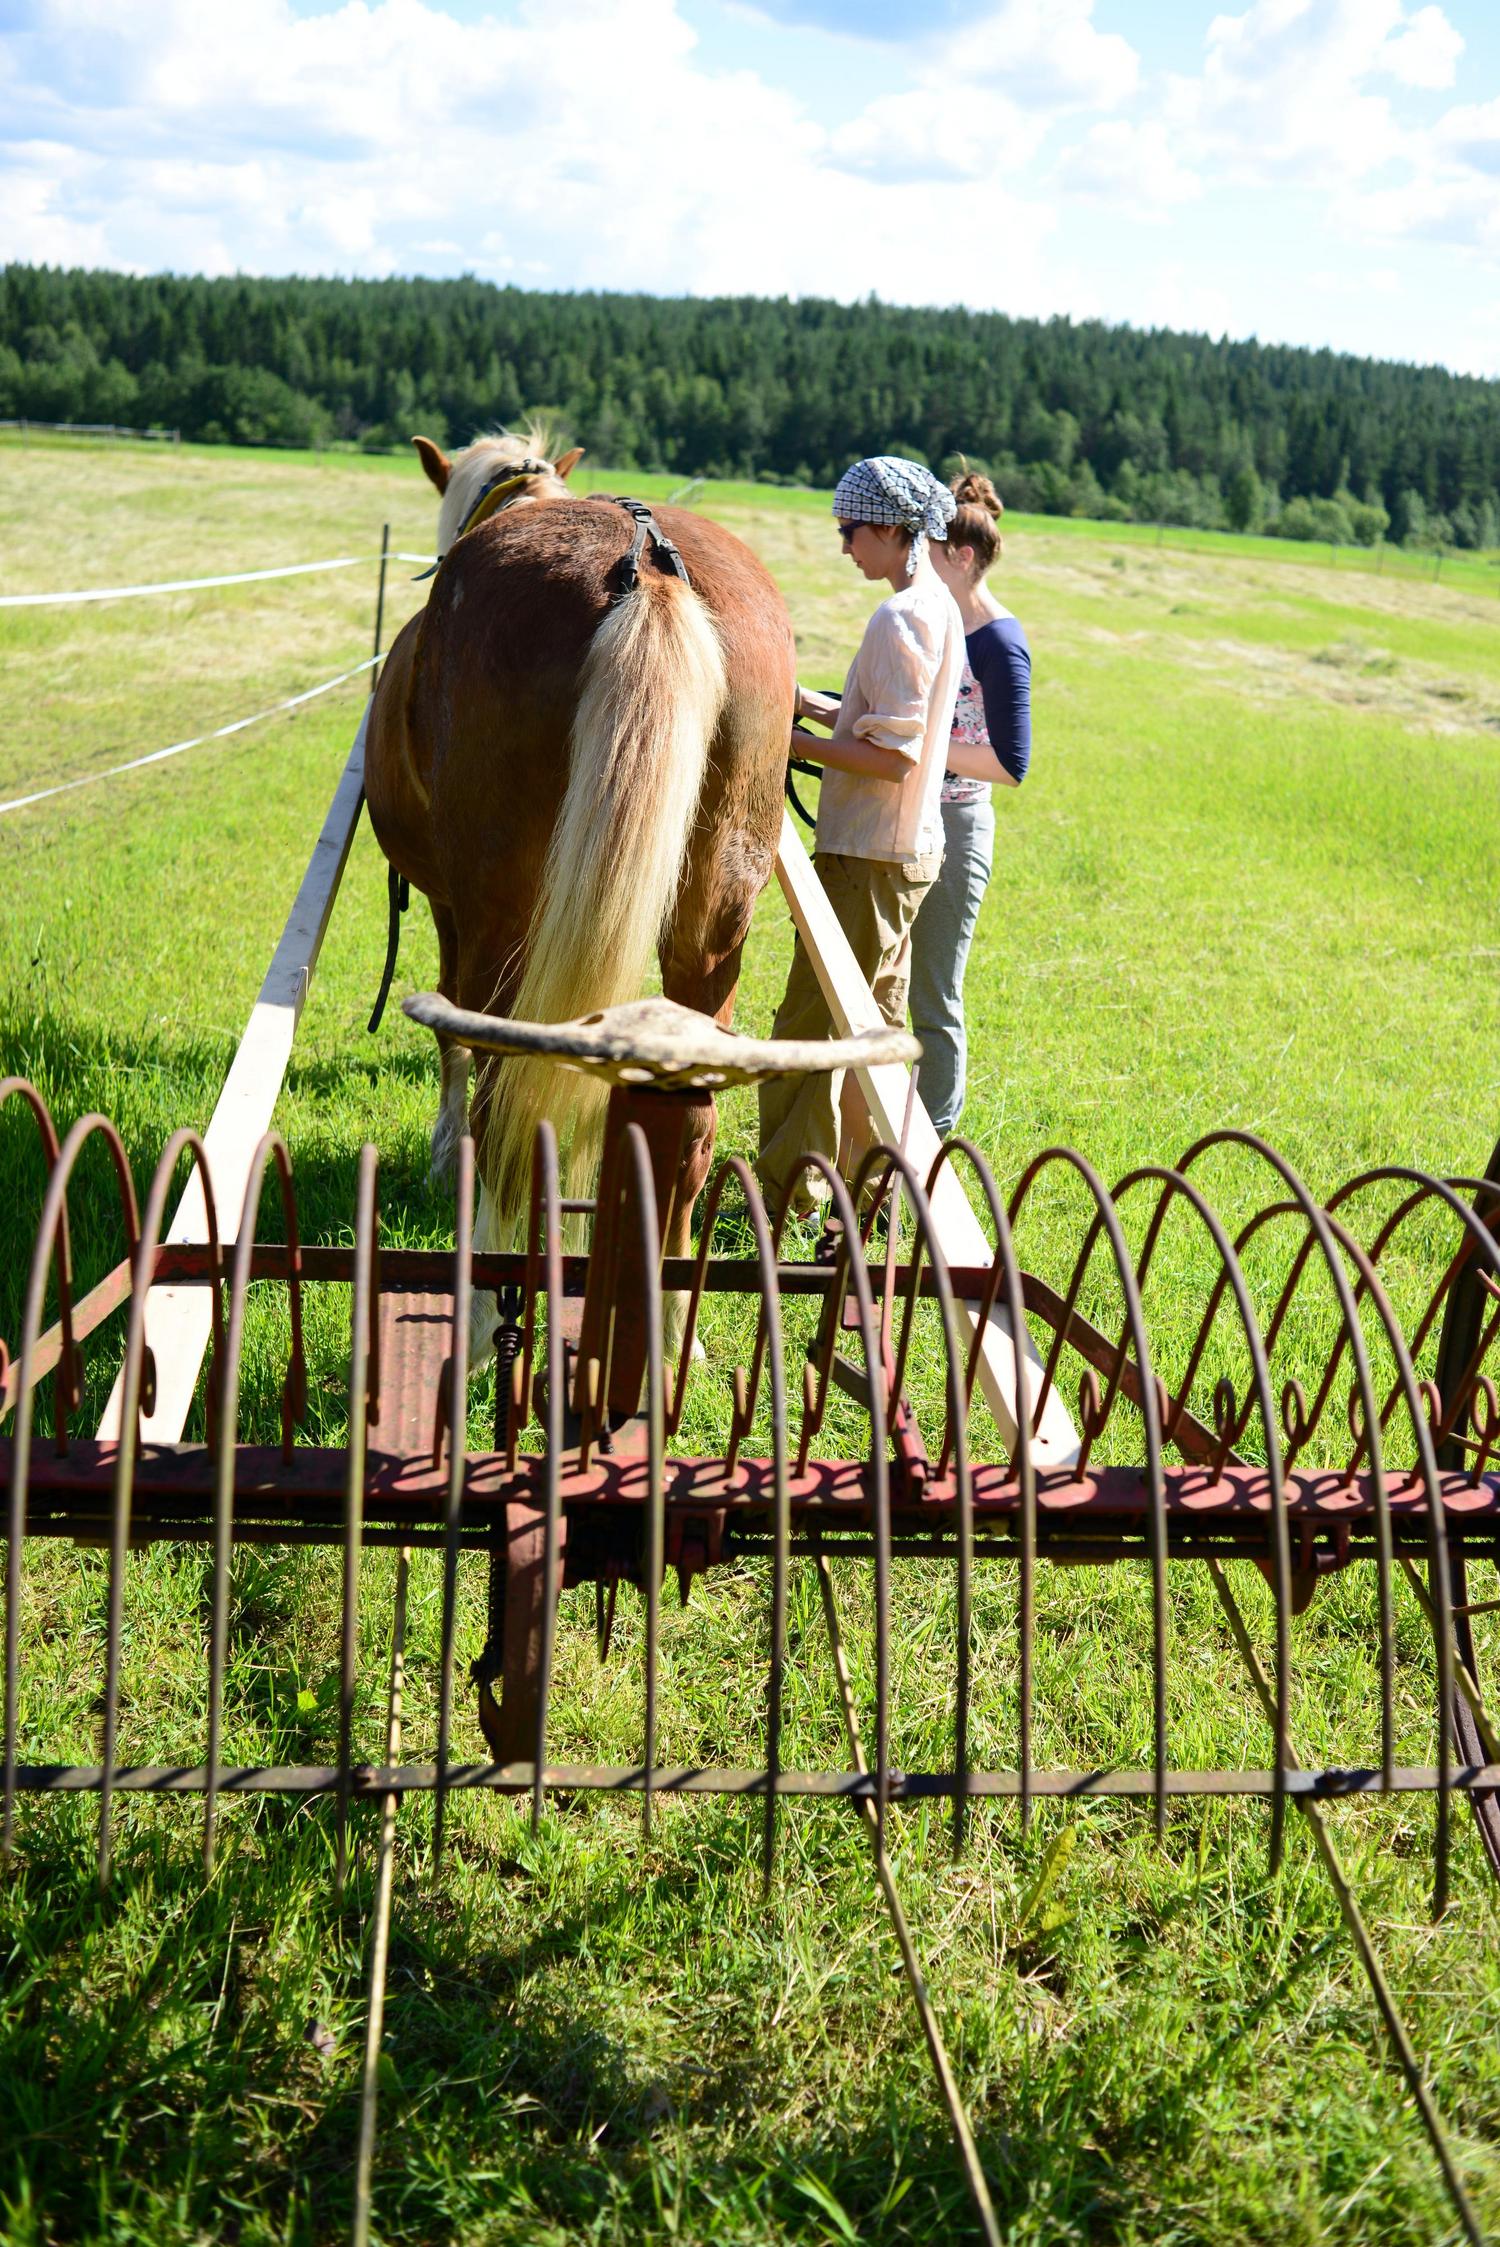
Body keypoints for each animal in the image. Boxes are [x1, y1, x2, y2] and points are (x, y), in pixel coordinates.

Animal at [361, 431, 794, 1357]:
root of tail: (647, 564)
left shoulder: (453, 909)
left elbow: (450, 1032)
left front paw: (441, 1150)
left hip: (503, 915)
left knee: (501, 1098)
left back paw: (484, 1313)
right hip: (713, 923)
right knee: (690, 1122)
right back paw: (669, 1323)